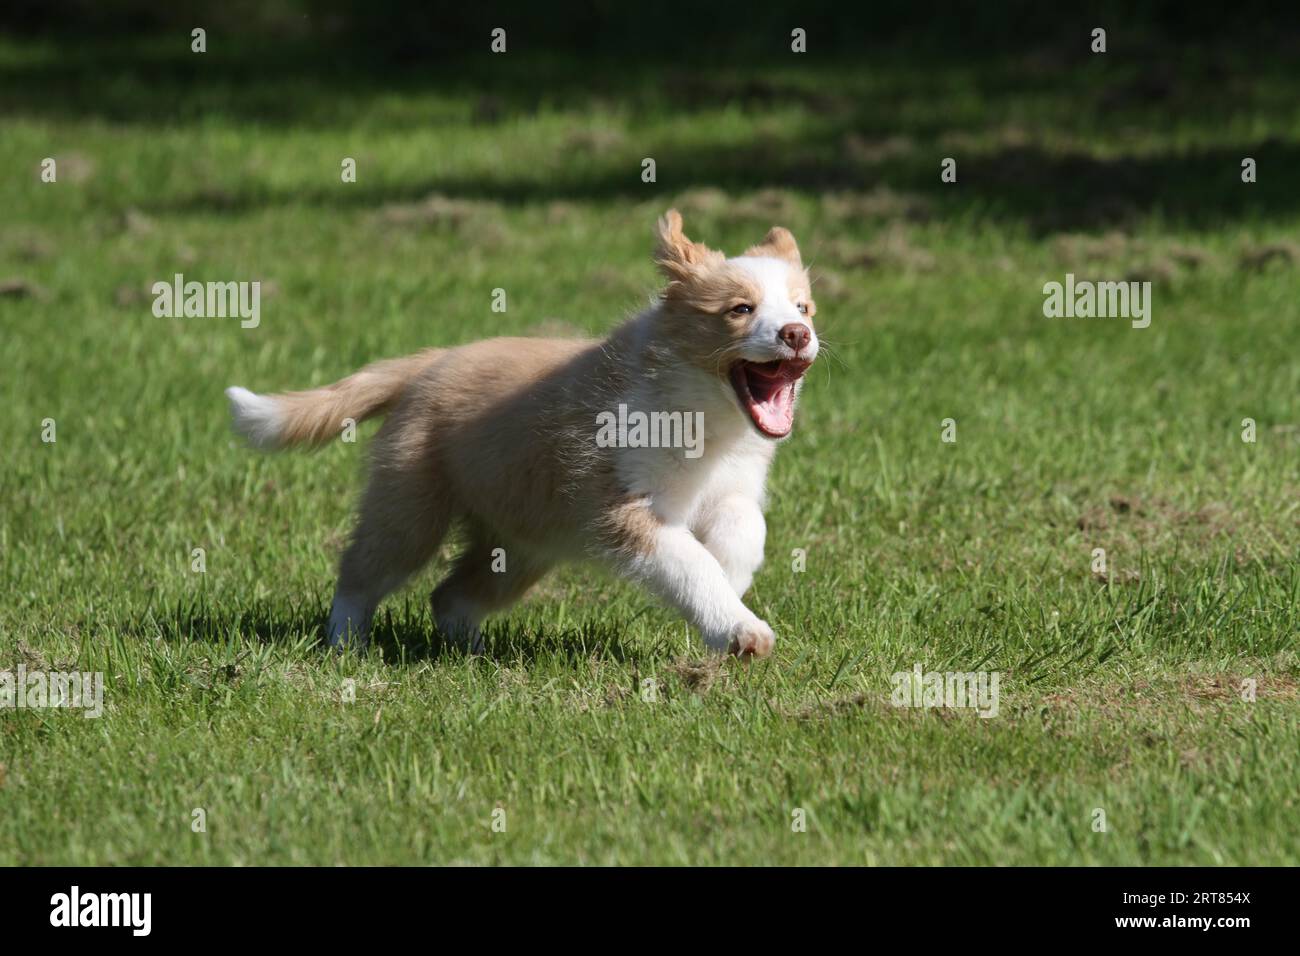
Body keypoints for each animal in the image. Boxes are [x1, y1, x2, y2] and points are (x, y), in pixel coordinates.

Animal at [222, 209, 811, 658]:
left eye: (803, 306)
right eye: (741, 309)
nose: (798, 334)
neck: (705, 416)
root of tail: (430, 362)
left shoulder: (731, 486)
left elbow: (744, 528)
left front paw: (733, 586)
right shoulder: (623, 505)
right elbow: (688, 562)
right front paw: (740, 628)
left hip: (523, 540)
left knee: (452, 595)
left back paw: (471, 655)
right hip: (411, 506)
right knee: (362, 571)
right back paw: (346, 644)